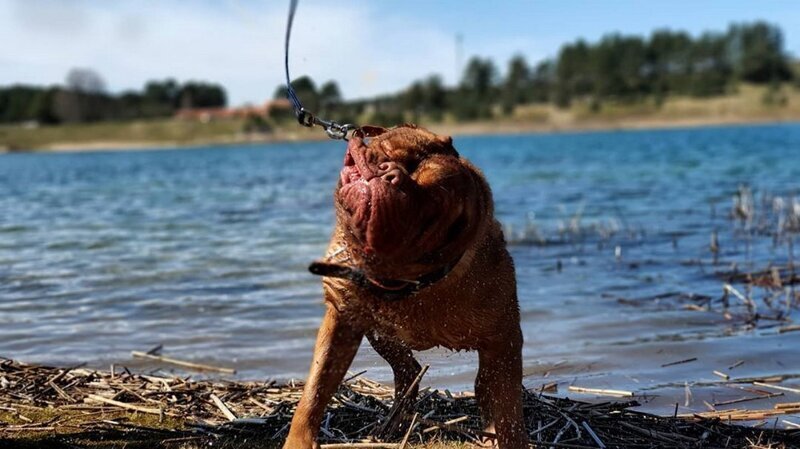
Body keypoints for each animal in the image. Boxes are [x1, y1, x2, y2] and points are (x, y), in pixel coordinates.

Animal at [282, 123, 524, 448]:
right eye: (387, 152)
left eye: (433, 210)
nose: (389, 174)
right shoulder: (341, 321)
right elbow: (315, 390)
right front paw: (298, 440)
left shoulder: (503, 341)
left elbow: (508, 412)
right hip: (378, 331)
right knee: (407, 368)